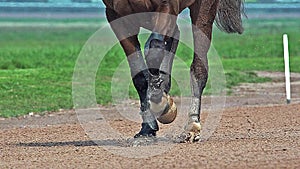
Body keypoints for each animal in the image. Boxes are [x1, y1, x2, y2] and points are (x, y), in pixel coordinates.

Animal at [102, 0, 244, 142]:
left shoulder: (167, 5)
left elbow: (154, 48)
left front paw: (160, 100)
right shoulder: (116, 15)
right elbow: (139, 73)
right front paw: (147, 127)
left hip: (203, 9)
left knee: (198, 66)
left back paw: (192, 126)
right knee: (174, 33)